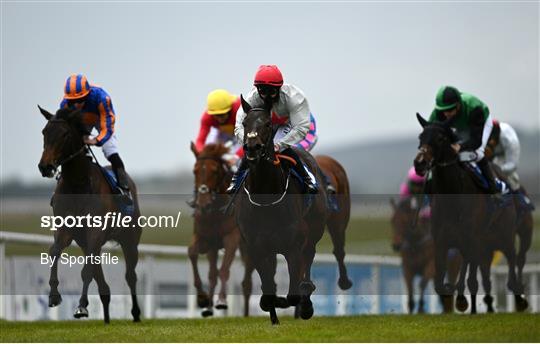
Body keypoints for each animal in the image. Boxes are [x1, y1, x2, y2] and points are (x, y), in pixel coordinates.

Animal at [38, 106, 142, 324]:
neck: (78, 183)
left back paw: (136, 313)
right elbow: (54, 251)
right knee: (102, 283)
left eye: (65, 134)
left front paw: (82, 306)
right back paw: (107, 318)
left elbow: (86, 271)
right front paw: (54, 295)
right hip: (87, 243)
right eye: (44, 132)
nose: (45, 166)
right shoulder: (66, 229)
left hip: (130, 240)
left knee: (131, 276)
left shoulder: (96, 231)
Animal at [188, 142, 251, 318]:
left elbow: (223, 270)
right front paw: (203, 300)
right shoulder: (207, 240)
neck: (215, 212)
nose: (203, 204)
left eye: (215, 171)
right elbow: (194, 255)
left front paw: (221, 300)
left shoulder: (232, 237)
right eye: (195, 170)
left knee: (247, 282)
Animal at [233, 96, 326, 326]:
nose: (252, 148)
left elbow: (292, 293)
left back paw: (306, 300)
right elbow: (267, 289)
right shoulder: (256, 248)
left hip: (312, 234)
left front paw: (299, 301)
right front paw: (272, 313)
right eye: (245, 123)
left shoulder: (293, 247)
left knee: (307, 262)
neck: (266, 198)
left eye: (267, 124)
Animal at [414, 113, 524, 314]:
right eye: (421, 137)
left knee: (512, 260)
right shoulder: (441, 242)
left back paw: (519, 297)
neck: (453, 199)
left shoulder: (473, 240)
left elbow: (472, 280)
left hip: (504, 234)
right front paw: (453, 292)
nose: (420, 163)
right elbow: (439, 284)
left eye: (440, 138)